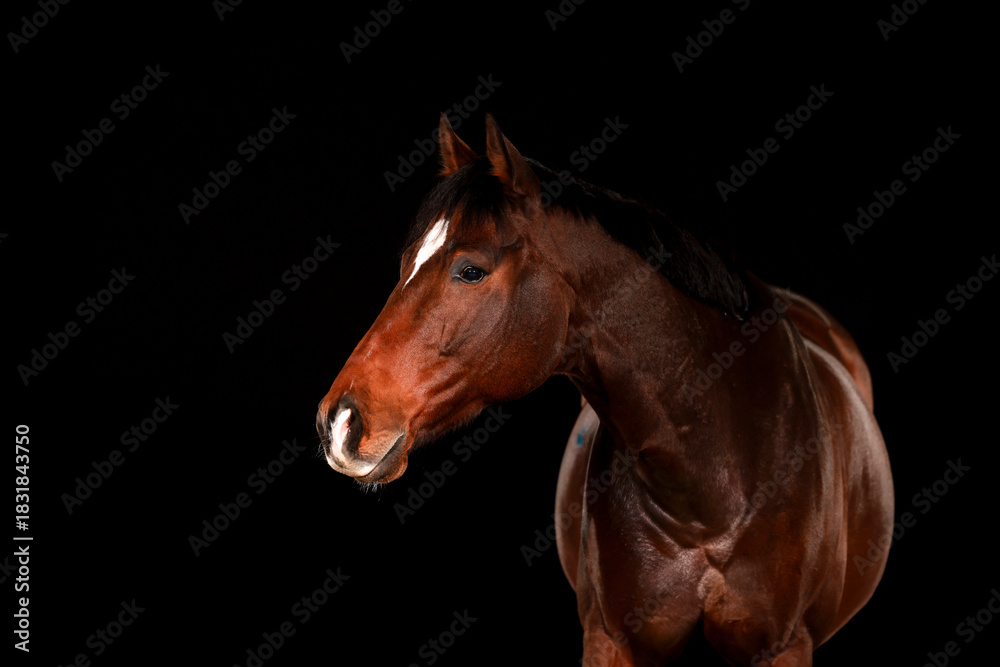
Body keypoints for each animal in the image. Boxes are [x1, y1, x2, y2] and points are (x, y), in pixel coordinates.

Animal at [316, 113, 894, 666]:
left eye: (471, 270)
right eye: (405, 266)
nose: (339, 422)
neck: (714, 475)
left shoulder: (783, 647)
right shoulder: (611, 640)